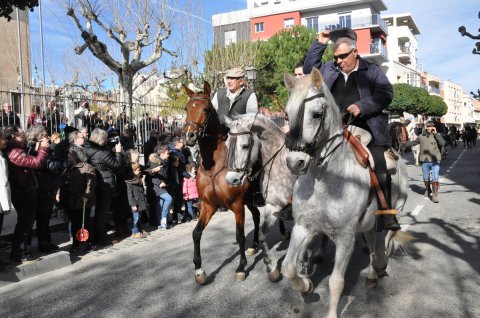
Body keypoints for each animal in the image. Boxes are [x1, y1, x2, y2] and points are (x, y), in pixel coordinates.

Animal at [183, 81, 258, 284]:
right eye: (186, 108)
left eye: (206, 109)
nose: (189, 136)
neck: (214, 165)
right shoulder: (208, 205)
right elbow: (196, 233)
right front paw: (199, 270)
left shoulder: (237, 205)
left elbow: (240, 235)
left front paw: (241, 267)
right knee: (257, 216)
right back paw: (255, 244)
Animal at [284, 68, 410, 316]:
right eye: (286, 114)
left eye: (316, 114)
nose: (295, 162)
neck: (324, 179)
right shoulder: (303, 227)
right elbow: (289, 268)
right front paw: (306, 285)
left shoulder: (345, 238)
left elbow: (336, 282)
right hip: (368, 223)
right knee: (372, 243)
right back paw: (372, 273)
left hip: (395, 211)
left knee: (386, 242)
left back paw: (380, 265)